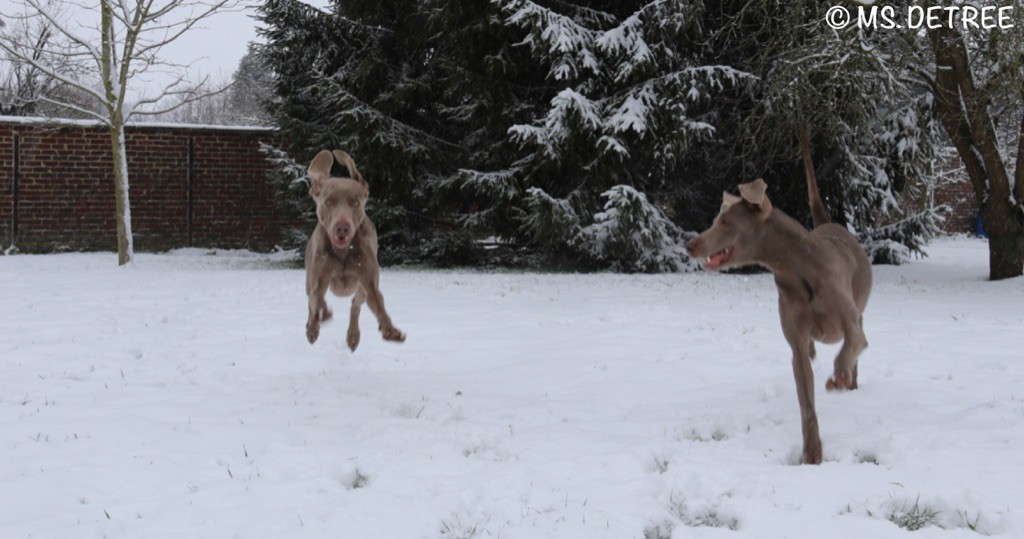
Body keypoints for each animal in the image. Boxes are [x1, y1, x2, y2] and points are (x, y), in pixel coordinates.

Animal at [303, 150, 403, 354]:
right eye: (329, 201)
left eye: (355, 202)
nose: (342, 227)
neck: (342, 252)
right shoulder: (318, 277)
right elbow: (315, 299)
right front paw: (312, 328)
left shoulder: (369, 281)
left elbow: (378, 305)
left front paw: (390, 330)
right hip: (309, 279)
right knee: (315, 298)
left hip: (361, 288)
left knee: (356, 304)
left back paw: (353, 336)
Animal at [688, 130, 872, 465]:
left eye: (725, 222)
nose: (690, 244)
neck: (799, 270)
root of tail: (830, 223)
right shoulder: (796, 344)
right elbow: (806, 403)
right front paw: (811, 455)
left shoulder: (850, 324)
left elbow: (850, 346)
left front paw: (838, 376)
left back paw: (849, 380)